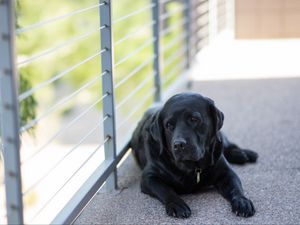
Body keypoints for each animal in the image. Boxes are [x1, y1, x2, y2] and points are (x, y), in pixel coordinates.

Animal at [129, 91, 258, 218]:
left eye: (193, 119)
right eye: (168, 125)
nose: (178, 144)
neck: (191, 168)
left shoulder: (226, 173)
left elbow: (236, 188)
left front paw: (242, 201)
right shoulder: (149, 177)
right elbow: (165, 190)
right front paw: (177, 204)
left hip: (220, 139)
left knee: (228, 146)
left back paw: (245, 154)